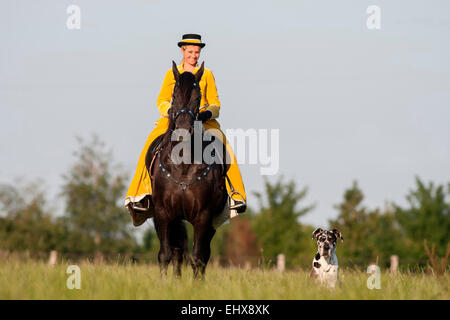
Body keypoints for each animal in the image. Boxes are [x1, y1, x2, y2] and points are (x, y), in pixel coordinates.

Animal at [148, 61, 230, 278]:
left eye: (198, 96)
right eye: (174, 94)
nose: (183, 130)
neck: (183, 164)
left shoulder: (204, 216)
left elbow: (198, 257)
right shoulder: (163, 213)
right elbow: (165, 255)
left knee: (201, 255)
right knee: (176, 252)